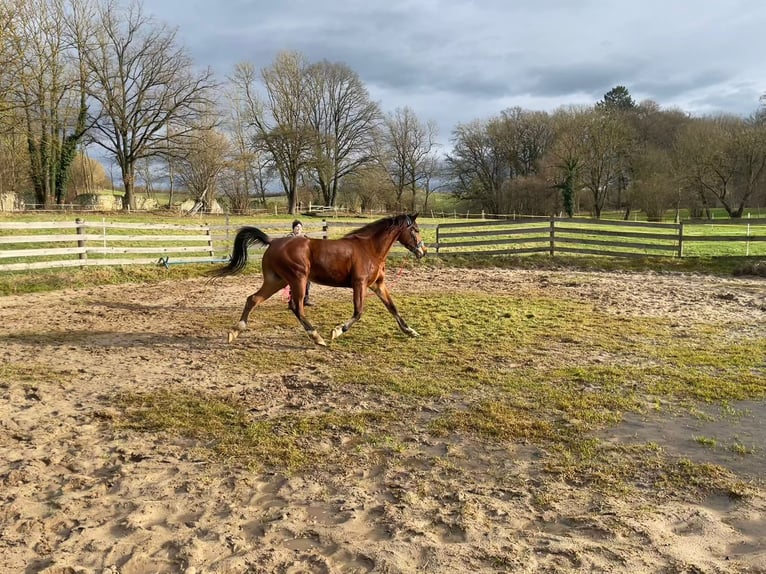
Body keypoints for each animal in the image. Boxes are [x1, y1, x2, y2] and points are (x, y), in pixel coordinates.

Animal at [211, 213, 427, 346]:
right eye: (415, 229)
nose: (423, 251)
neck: (370, 249)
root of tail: (274, 241)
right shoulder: (360, 284)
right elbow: (358, 312)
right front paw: (337, 331)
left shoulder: (377, 284)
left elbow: (393, 307)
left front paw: (410, 331)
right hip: (298, 279)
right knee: (296, 307)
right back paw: (317, 337)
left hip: (277, 281)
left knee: (253, 299)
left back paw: (235, 331)